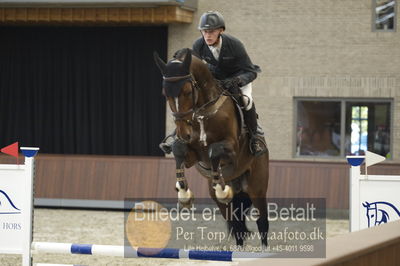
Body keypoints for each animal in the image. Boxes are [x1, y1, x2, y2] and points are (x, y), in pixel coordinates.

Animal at [153, 48, 268, 247]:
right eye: (164, 93)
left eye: (187, 91)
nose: (183, 133)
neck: (202, 111)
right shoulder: (193, 156)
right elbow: (178, 150)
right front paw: (184, 194)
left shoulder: (232, 150)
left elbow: (214, 151)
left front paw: (221, 188)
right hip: (225, 200)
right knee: (236, 224)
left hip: (257, 188)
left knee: (262, 222)